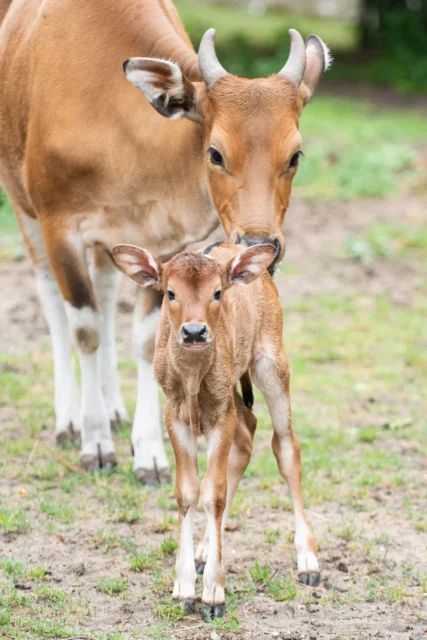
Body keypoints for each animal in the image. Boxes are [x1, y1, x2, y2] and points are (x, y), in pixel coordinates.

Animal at [112, 241, 320, 620]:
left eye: (217, 292)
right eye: (170, 293)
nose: (194, 332)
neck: (194, 379)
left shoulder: (221, 415)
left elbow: (214, 493)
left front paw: (213, 594)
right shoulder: (176, 414)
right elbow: (187, 492)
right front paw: (182, 589)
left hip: (272, 364)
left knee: (286, 447)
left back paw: (308, 560)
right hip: (236, 393)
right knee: (248, 432)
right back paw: (205, 550)